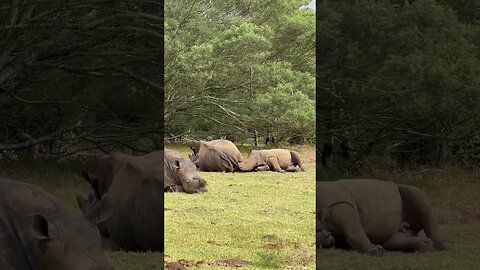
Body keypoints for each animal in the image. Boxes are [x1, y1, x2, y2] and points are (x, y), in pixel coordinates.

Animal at [316, 179, 448, 255]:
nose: (329, 236)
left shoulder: (339, 203)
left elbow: (354, 231)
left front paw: (374, 251)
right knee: (392, 239)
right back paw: (425, 245)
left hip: (408, 190)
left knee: (417, 196)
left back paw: (443, 246)